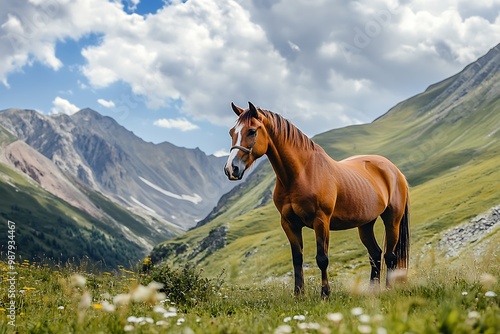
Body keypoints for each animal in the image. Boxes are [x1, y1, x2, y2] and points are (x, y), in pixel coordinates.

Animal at [225, 102, 408, 298]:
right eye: (231, 132)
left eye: (252, 131)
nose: (231, 169)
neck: (301, 173)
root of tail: (395, 171)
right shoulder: (289, 223)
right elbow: (297, 258)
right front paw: (298, 294)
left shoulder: (321, 221)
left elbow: (322, 259)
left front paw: (325, 294)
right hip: (365, 224)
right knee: (375, 254)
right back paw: (372, 290)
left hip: (392, 220)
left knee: (390, 256)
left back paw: (388, 290)